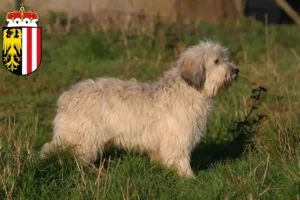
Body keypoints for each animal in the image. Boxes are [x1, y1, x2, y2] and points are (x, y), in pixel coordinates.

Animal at [40, 40, 239, 178]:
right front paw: (189, 178)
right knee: (58, 150)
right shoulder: (177, 140)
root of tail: (67, 96)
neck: (188, 90)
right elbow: (180, 160)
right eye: (216, 61)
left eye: (226, 58)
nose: (236, 70)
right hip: (82, 137)